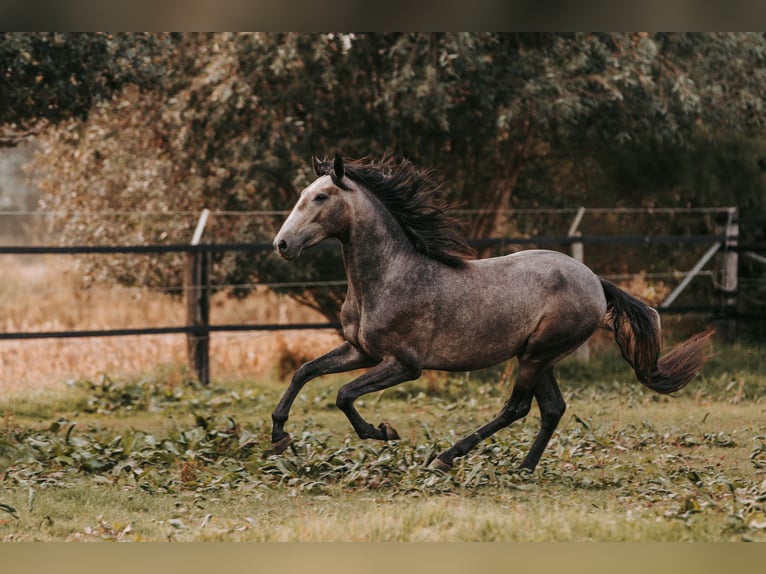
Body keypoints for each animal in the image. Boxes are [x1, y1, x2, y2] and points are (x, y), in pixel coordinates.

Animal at [270, 155, 712, 474]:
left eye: (321, 197)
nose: (282, 244)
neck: (390, 276)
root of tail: (594, 281)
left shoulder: (404, 365)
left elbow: (344, 395)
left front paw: (382, 432)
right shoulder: (360, 351)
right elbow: (305, 372)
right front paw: (278, 435)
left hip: (537, 354)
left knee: (517, 408)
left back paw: (447, 457)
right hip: (539, 357)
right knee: (552, 408)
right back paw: (524, 468)